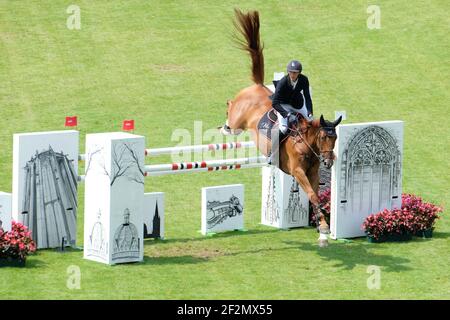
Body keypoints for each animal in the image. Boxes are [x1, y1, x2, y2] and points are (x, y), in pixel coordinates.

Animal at [219, 8, 342, 248]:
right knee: (232, 114)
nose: (328, 162)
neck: (307, 144)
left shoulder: (312, 172)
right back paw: (224, 124)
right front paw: (323, 229)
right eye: (324, 137)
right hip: (238, 121)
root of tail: (259, 86)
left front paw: (322, 230)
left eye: (335, 139)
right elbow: (313, 195)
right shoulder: (297, 171)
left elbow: (315, 195)